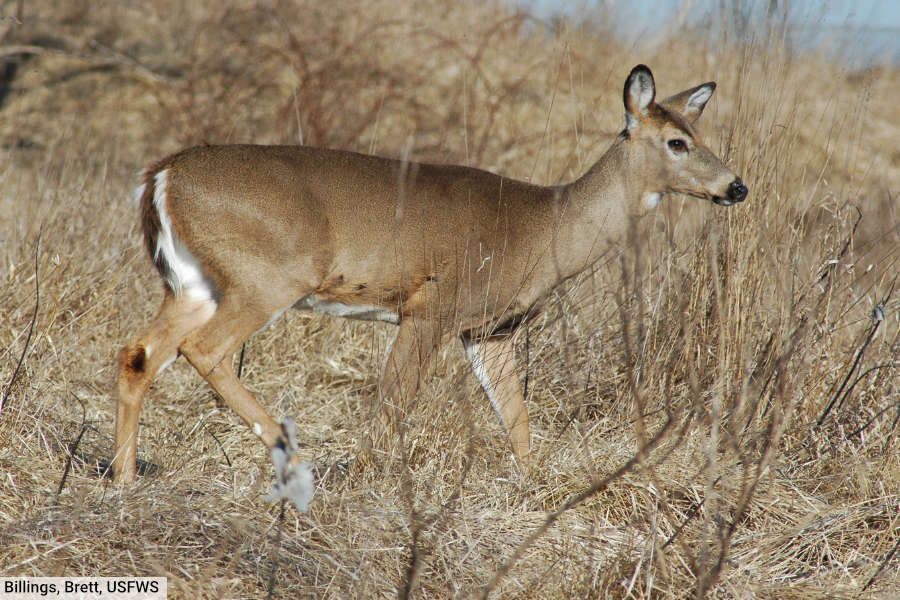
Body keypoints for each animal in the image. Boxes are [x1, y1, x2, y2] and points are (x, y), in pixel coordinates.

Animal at [114, 65, 747, 511]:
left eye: (699, 132)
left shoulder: (487, 331)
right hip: (266, 277)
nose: (735, 187)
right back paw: (291, 455)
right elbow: (393, 405)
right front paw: (364, 483)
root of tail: (161, 176)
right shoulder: (431, 310)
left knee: (139, 353)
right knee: (204, 350)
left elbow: (516, 419)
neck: (543, 227)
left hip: (192, 284)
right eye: (677, 142)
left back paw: (123, 479)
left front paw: (537, 489)